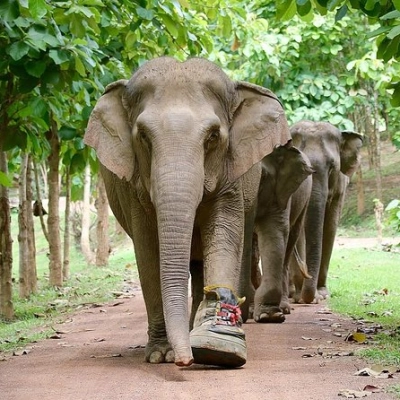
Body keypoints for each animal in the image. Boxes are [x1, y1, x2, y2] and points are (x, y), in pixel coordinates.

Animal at [84, 56, 290, 368]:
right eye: (143, 136)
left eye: (214, 136)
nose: (185, 362)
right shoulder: (133, 189)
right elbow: (148, 251)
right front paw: (160, 354)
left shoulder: (233, 175)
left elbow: (224, 235)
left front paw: (220, 346)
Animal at [252, 141, 314, 322]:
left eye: (263, 177)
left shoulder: (283, 192)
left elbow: (276, 229)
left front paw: (267, 315)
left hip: (304, 201)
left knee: (290, 239)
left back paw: (284, 308)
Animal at [290, 121, 364, 304]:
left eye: (332, 167)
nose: (312, 299)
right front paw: (301, 297)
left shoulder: (340, 188)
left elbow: (330, 226)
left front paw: (322, 294)